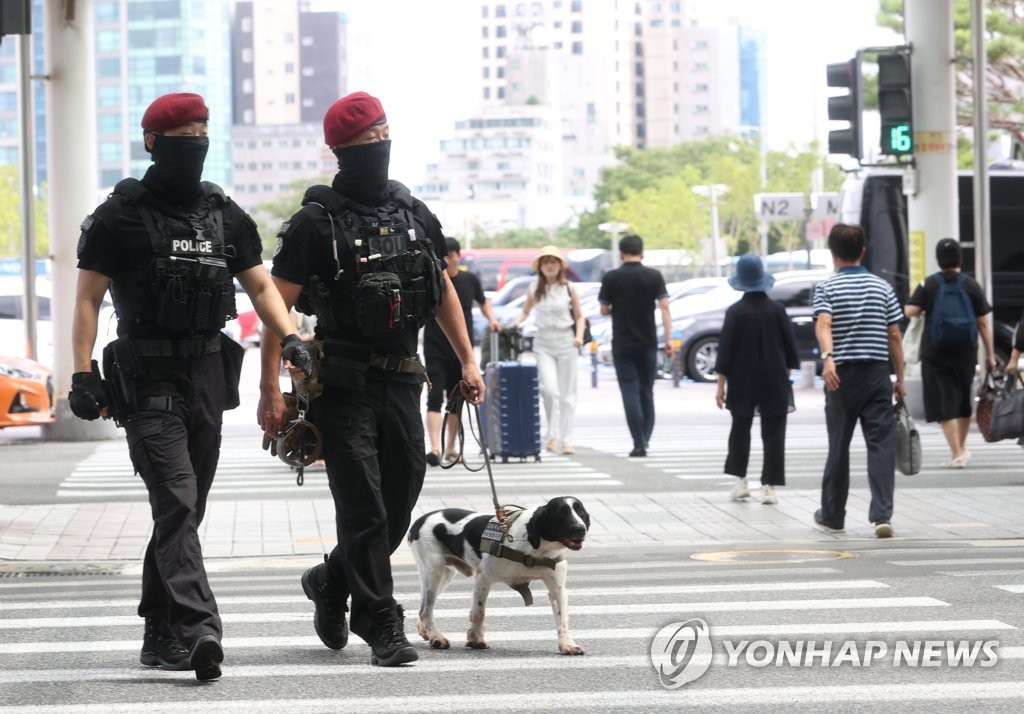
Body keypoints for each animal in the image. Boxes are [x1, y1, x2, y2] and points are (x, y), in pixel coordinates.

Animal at [403, 497, 589, 655]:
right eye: (561, 513)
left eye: (580, 512)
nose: (581, 529)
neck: (536, 548)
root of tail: (419, 520)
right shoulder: (483, 578)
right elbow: (479, 612)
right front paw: (476, 639)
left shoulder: (558, 589)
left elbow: (562, 618)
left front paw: (567, 644)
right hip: (434, 572)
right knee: (426, 610)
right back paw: (437, 637)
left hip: (446, 574)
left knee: (423, 608)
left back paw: (426, 632)